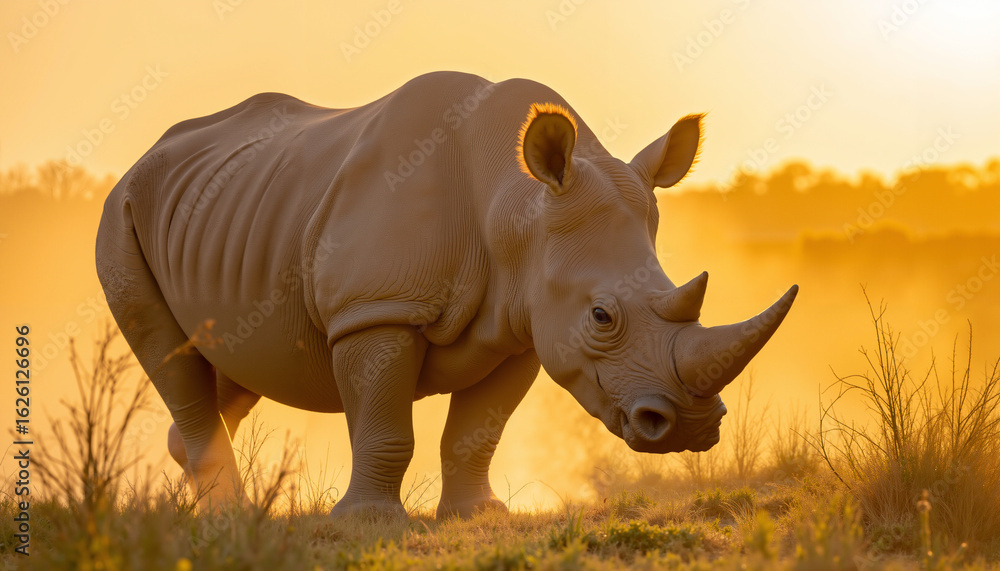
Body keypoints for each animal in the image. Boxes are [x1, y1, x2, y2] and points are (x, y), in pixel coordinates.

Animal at [96, 71, 797, 519]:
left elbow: (476, 433)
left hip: (237, 213)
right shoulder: (375, 308)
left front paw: (479, 517)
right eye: (601, 317)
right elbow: (384, 426)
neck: (516, 208)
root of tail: (143, 157)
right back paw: (228, 516)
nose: (690, 427)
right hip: (120, 213)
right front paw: (367, 523)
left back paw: (190, 486)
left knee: (237, 362)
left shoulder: (524, 326)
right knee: (168, 352)